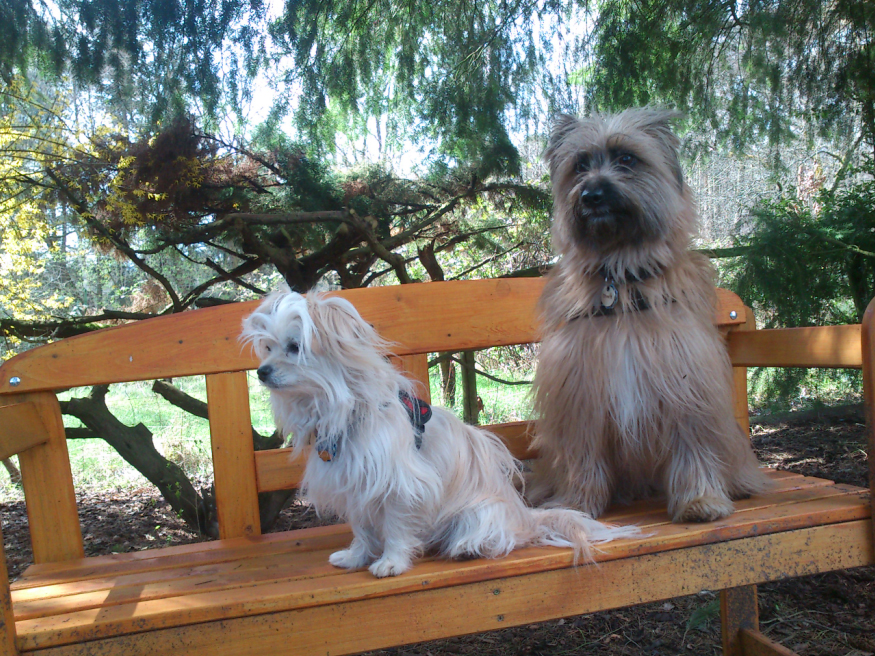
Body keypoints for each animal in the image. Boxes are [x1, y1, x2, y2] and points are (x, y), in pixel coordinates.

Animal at [241, 290, 641, 578]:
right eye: (268, 348)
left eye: (295, 347)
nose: (261, 371)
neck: (344, 411)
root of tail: (524, 516)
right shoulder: (356, 484)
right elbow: (363, 529)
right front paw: (356, 557)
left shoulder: (400, 484)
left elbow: (396, 527)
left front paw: (391, 562)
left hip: (479, 511)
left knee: (500, 536)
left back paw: (468, 546)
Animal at [529, 108, 769, 523]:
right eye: (580, 165)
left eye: (627, 158)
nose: (592, 195)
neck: (622, 281)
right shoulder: (580, 395)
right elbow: (582, 457)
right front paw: (576, 504)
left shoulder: (686, 388)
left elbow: (694, 449)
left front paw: (699, 500)